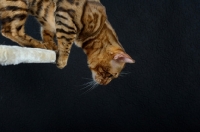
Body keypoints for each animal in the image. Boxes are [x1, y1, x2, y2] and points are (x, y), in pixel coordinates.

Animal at [0, 0, 135, 85]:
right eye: (110, 75)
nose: (104, 84)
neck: (99, 28)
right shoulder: (66, 20)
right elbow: (66, 43)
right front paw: (61, 60)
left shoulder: (49, 23)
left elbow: (47, 34)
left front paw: (51, 46)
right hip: (17, 7)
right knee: (11, 31)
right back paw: (38, 45)